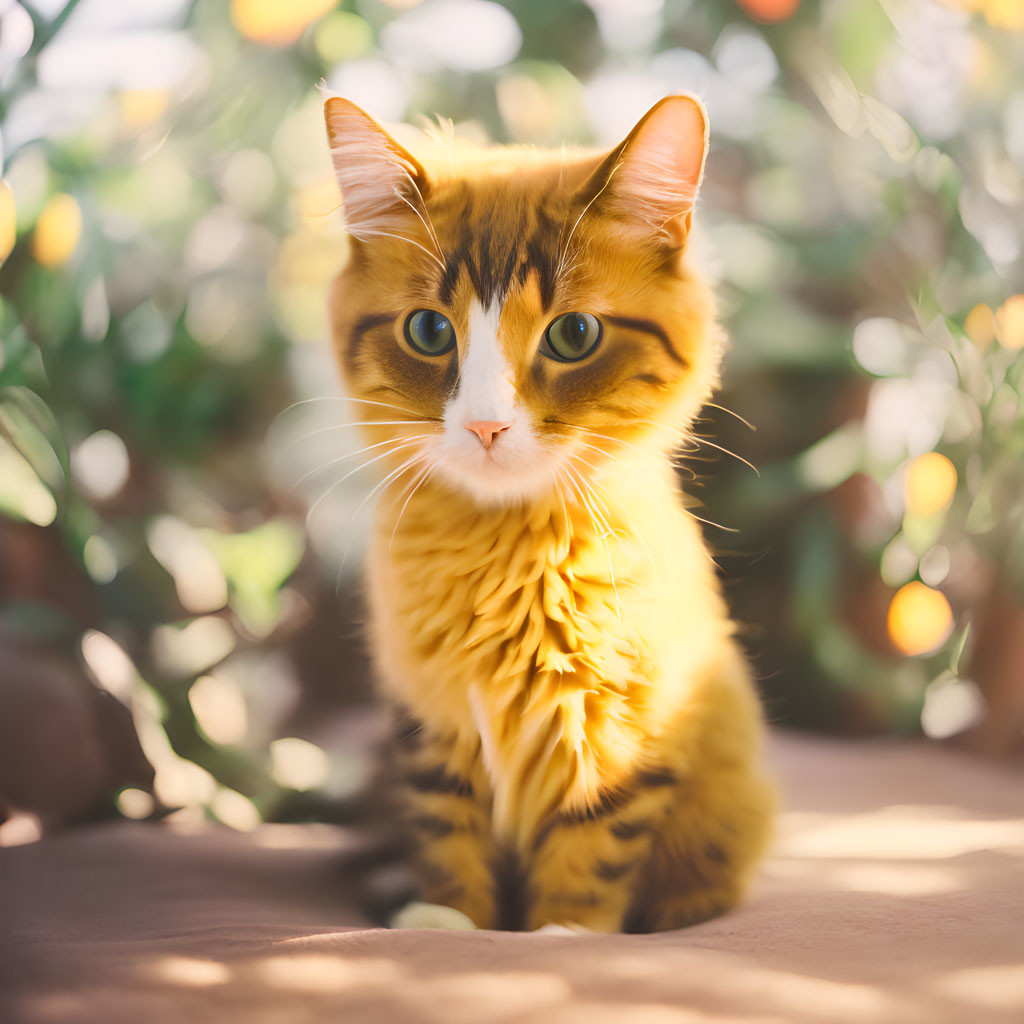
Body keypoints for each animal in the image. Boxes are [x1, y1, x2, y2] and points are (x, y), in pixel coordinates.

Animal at [323, 96, 770, 937]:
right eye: (429, 331)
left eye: (574, 335)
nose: (487, 427)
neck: (508, 549)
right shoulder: (427, 719)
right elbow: (444, 830)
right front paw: (445, 921)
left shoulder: (631, 728)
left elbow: (593, 844)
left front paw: (563, 936)